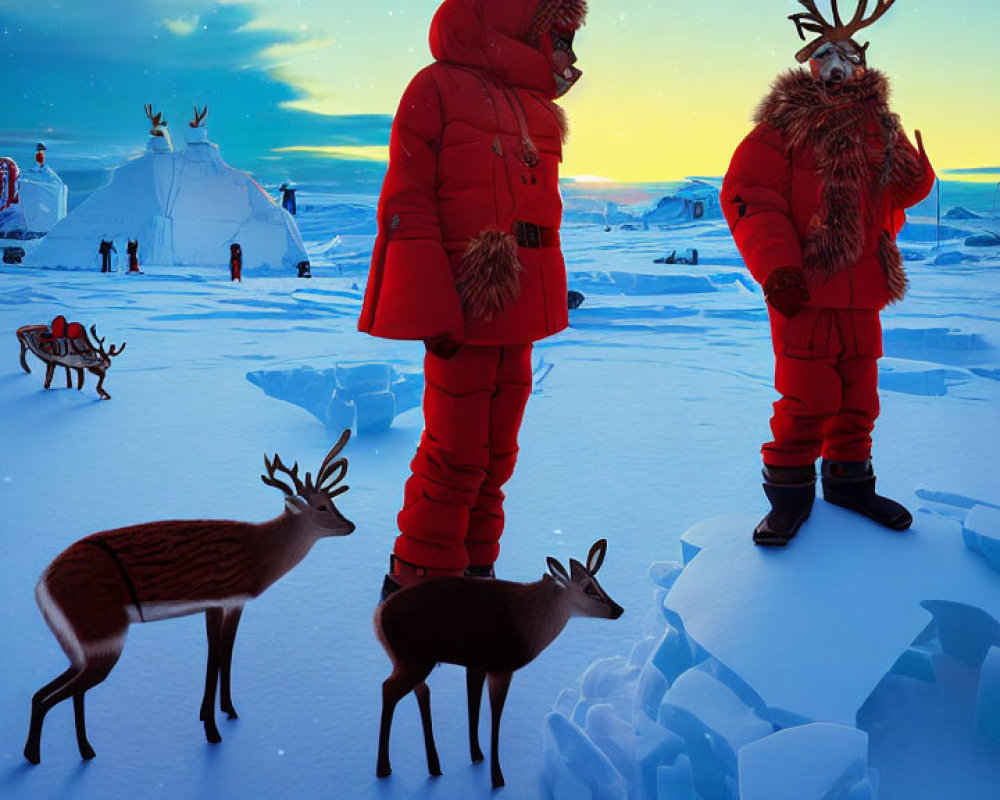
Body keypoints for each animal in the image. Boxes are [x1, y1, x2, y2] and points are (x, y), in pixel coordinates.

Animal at [21, 428, 358, 764]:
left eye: (333, 501)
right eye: (321, 507)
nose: (350, 525)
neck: (260, 553)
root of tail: (41, 586)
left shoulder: (232, 603)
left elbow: (226, 654)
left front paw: (228, 711)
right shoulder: (219, 598)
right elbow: (214, 657)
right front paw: (211, 729)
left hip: (83, 644)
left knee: (53, 692)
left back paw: (82, 750)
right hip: (103, 636)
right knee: (57, 693)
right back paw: (37, 755)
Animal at [376, 536, 624, 788]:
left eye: (598, 582)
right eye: (588, 588)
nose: (618, 609)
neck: (533, 629)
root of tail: (378, 616)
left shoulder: (476, 664)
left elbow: (473, 705)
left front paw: (477, 755)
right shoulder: (502, 665)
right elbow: (495, 713)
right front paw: (497, 777)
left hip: (406, 659)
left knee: (421, 691)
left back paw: (434, 766)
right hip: (415, 658)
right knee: (389, 688)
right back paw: (384, 769)